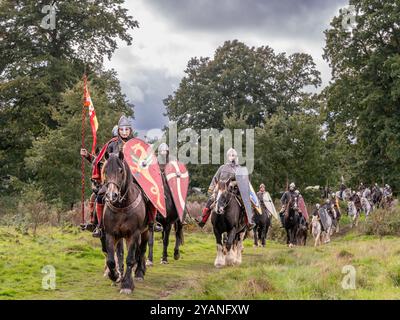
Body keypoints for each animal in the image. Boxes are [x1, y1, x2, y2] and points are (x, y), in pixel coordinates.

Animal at [102, 152, 149, 296]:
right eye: (105, 171)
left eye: (120, 171)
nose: (112, 195)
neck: (122, 206)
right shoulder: (111, 234)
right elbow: (111, 260)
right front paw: (115, 276)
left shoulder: (134, 234)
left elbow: (130, 259)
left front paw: (127, 285)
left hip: (146, 231)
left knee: (141, 250)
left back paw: (139, 272)